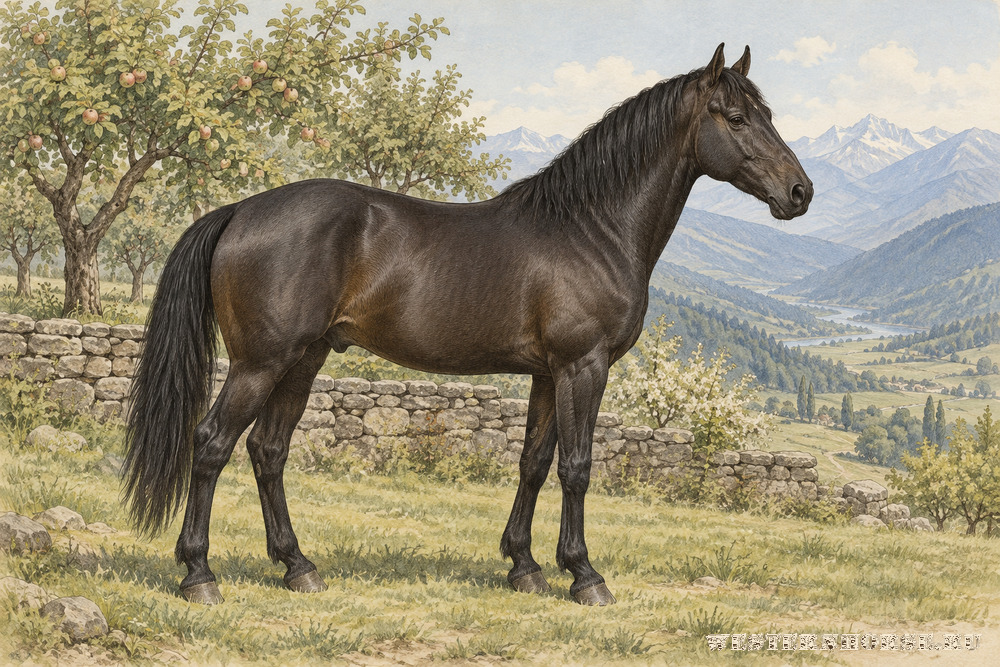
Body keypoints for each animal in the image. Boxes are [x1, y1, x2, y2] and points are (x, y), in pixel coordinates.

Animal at [123, 43, 812, 607]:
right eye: (736, 117)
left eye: (767, 113)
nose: (800, 192)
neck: (589, 229)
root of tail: (241, 209)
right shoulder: (582, 367)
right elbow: (577, 466)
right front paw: (584, 575)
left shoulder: (546, 374)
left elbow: (534, 462)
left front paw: (525, 567)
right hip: (259, 363)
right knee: (212, 444)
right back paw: (199, 575)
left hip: (304, 359)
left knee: (268, 451)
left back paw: (298, 566)